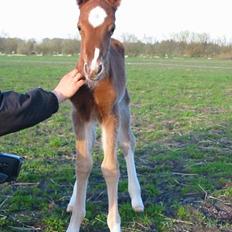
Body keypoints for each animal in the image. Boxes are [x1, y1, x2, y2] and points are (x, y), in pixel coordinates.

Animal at [66, 0, 144, 231]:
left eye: (112, 28)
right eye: (79, 27)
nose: (93, 70)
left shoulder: (111, 114)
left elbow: (110, 168)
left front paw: (114, 223)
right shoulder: (79, 114)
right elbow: (83, 164)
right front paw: (75, 221)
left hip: (124, 106)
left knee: (127, 143)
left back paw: (136, 198)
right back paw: (73, 202)